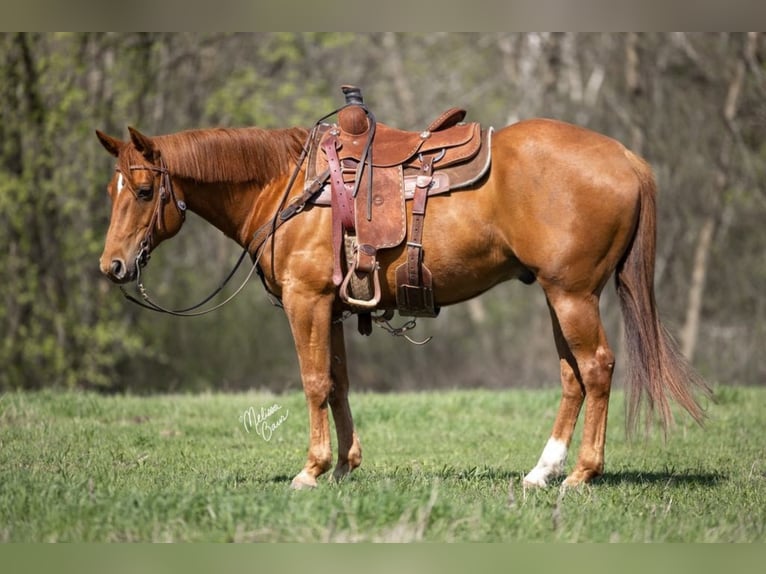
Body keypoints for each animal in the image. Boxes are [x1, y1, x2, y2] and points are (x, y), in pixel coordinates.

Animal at [97, 116, 712, 490]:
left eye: (145, 191)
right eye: (112, 191)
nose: (113, 267)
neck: (289, 187)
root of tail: (625, 157)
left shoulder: (306, 301)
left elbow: (314, 382)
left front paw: (312, 469)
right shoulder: (334, 308)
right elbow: (338, 384)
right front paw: (345, 467)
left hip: (572, 294)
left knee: (597, 368)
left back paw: (583, 473)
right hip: (557, 296)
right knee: (572, 377)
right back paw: (542, 471)